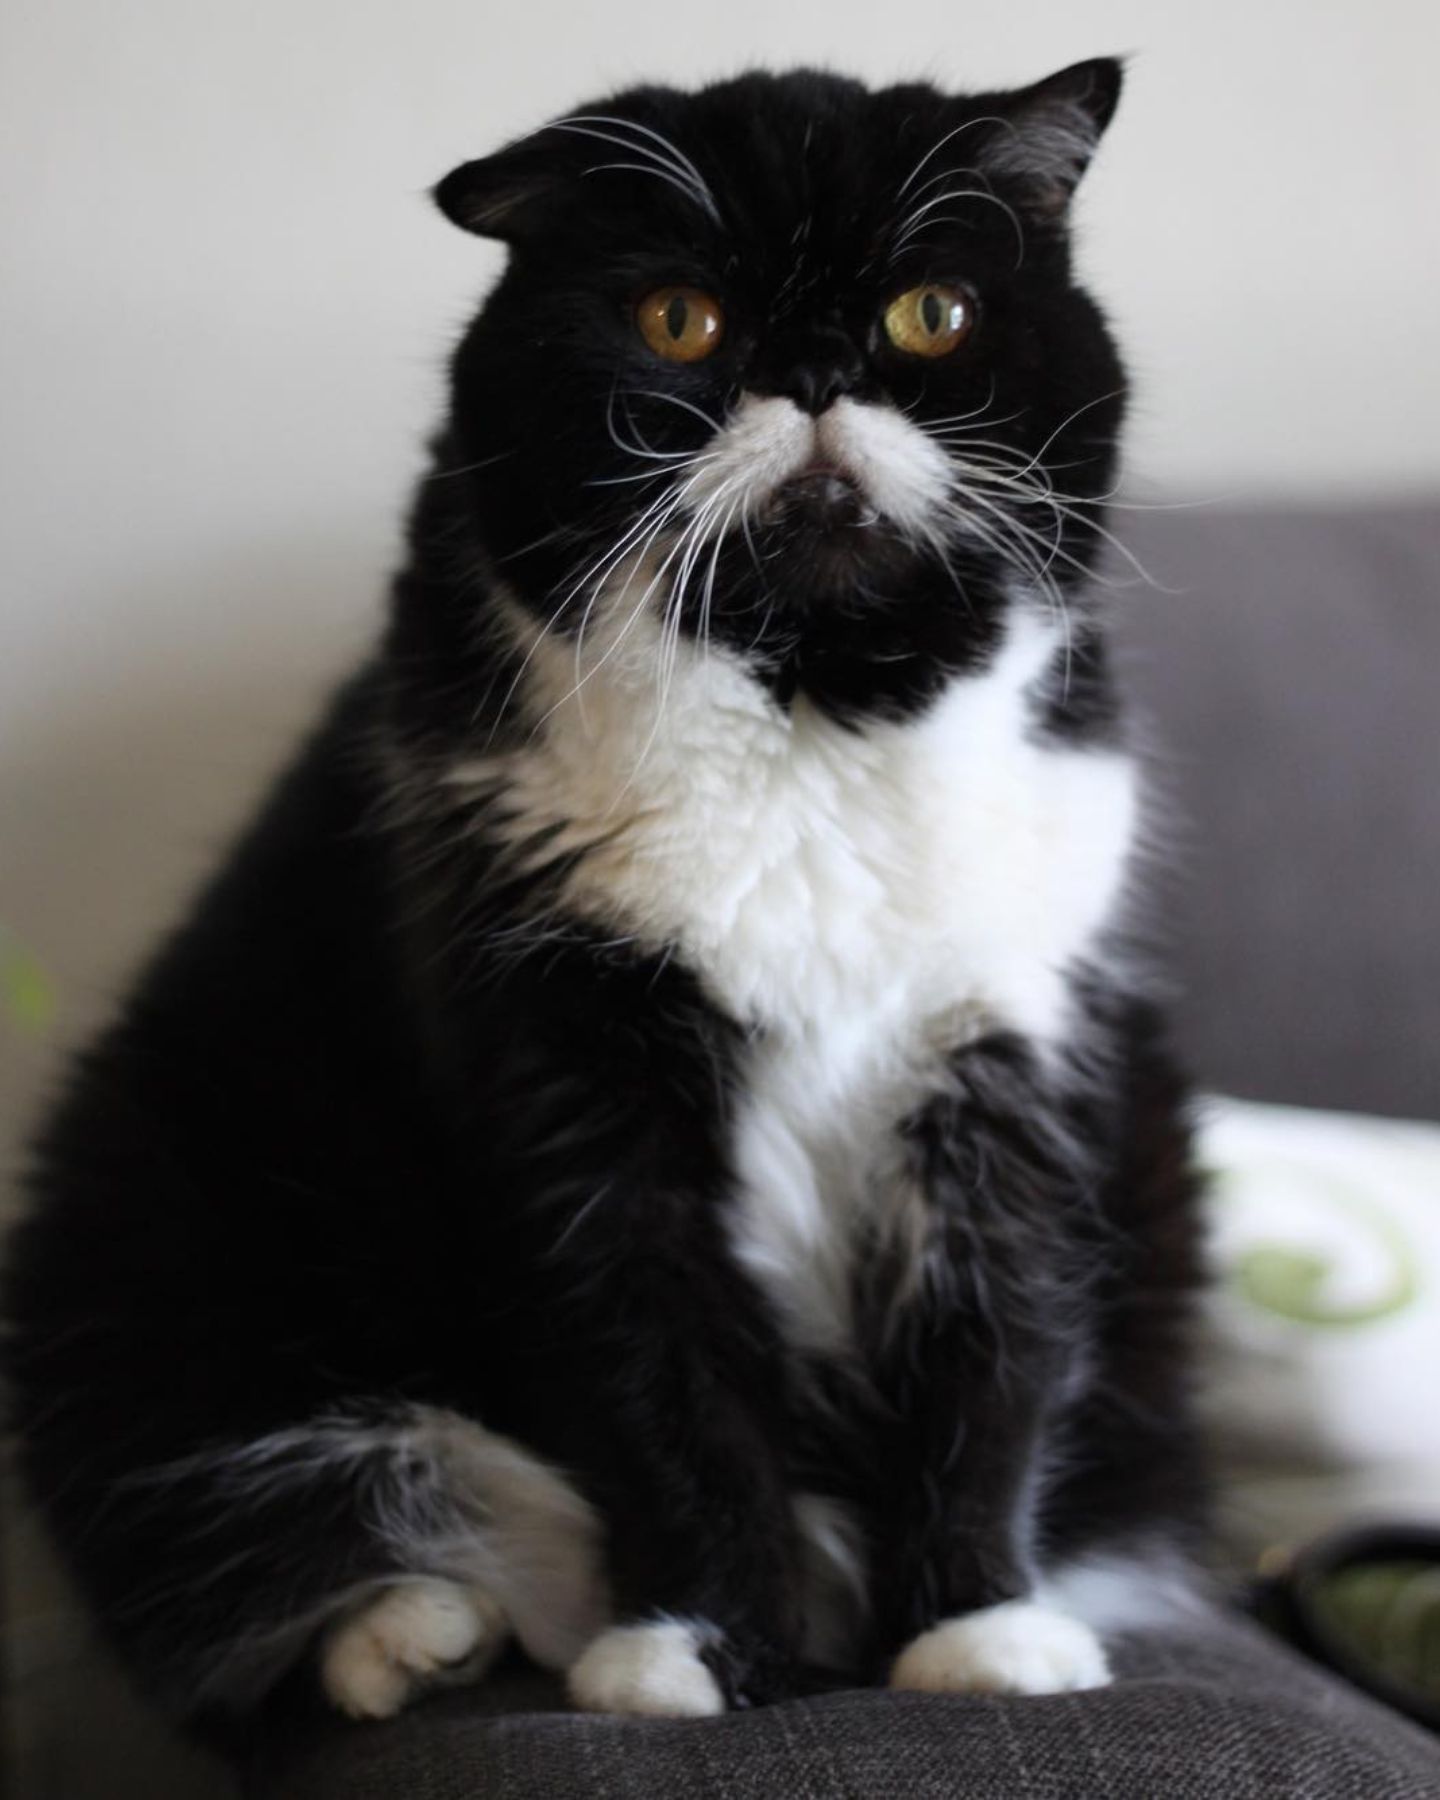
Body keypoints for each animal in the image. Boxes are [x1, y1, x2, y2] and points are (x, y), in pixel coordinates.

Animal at [5, 59, 1209, 1742]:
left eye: (935, 314)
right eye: (679, 321)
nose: (817, 370)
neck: (815, 715)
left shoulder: (1017, 1052)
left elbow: (998, 1355)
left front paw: (975, 1636)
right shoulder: (566, 1066)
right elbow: (661, 1383)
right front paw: (696, 1653)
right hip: (131, 1225)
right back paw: (417, 1638)